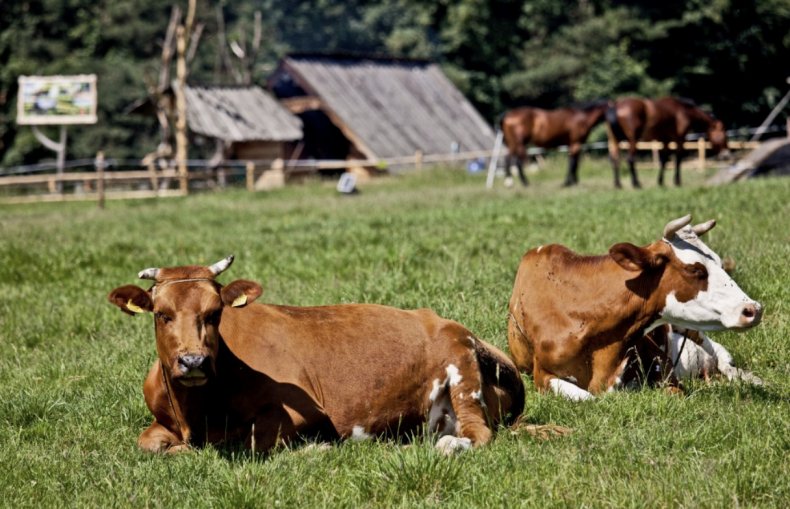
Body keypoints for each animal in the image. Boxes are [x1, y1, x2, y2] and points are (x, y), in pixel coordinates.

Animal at [106, 258, 524, 452]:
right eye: (162, 314)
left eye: (214, 313)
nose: (193, 362)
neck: (197, 413)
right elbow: (148, 443)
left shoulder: (295, 416)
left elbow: (248, 441)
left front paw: (315, 448)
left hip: (462, 369)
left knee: (477, 433)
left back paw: (450, 446)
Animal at [510, 212, 764, 398]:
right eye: (696, 270)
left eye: (721, 264)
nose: (754, 309)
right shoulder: (542, 375)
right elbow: (586, 397)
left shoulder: (661, 361)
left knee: (726, 363)